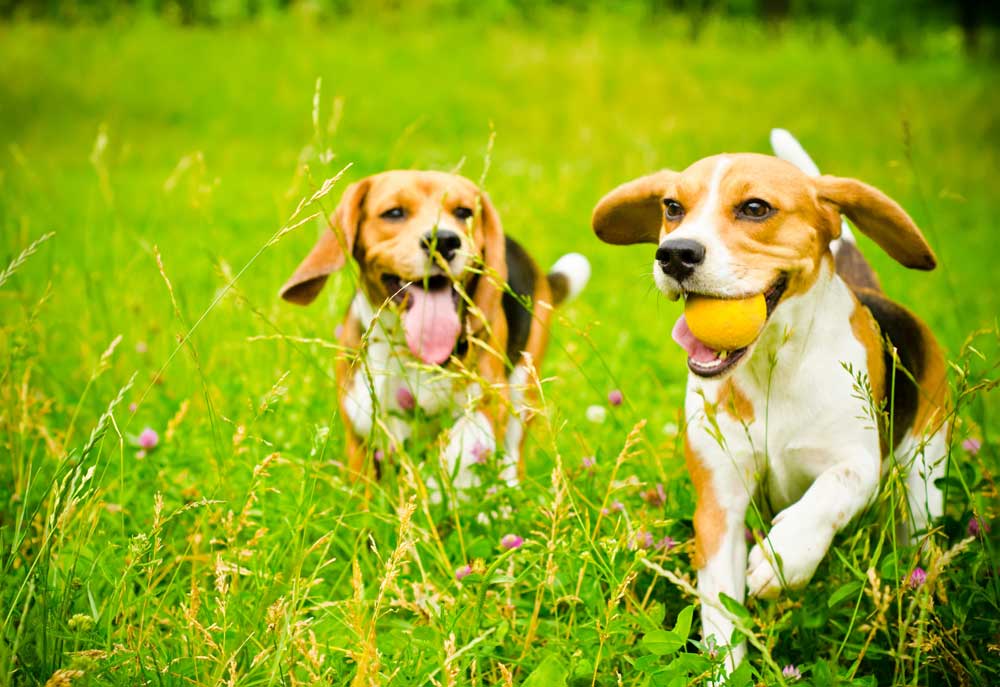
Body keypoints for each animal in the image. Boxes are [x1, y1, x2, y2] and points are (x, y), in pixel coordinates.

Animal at [282, 172, 588, 494]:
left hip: (522, 390)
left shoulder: (488, 403)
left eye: (464, 212)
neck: (409, 350)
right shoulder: (363, 420)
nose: (443, 240)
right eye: (394, 213)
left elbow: (459, 447)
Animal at [588, 133, 948, 672]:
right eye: (672, 207)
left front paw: (785, 558)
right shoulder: (719, 506)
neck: (771, 367)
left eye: (755, 208)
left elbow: (833, 488)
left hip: (924, 477)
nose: (674, 254)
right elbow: (721, 616)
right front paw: (726, 673)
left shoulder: (859, 463)